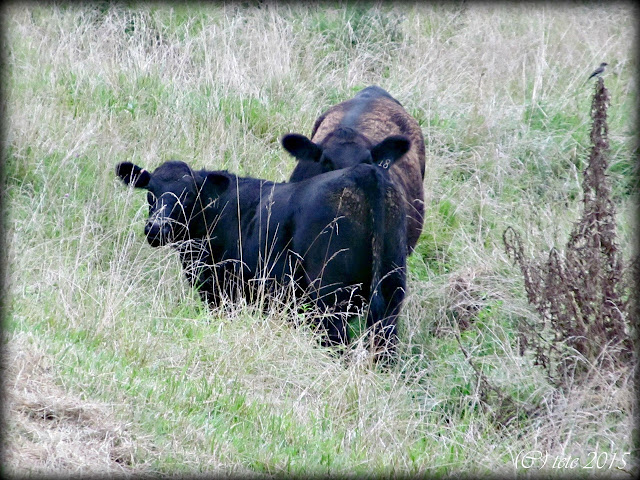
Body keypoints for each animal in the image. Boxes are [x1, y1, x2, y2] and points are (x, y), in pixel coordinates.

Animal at [115, 157, 407, 361]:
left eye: (188, 194)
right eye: (150, 191)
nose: (156, 228)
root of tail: (364, 172)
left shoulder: (221, 292)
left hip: (329, 296)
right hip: (391, 292)